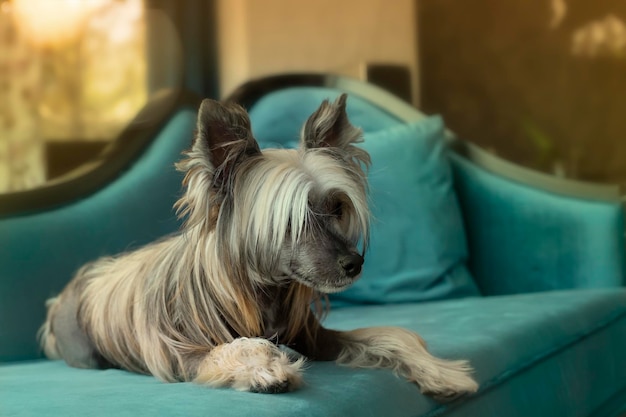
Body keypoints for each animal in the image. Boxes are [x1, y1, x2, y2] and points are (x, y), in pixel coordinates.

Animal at [40, 93, 478, 400]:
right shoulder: (182, 355)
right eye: (291, 221)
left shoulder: (313, 337)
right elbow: (235, 347)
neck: (263, 292)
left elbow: (391, 336)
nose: (354, 263)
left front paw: (441, 371)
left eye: (337, 207)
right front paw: (267, 369)